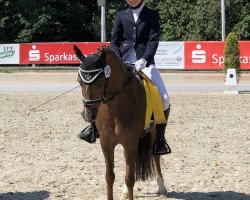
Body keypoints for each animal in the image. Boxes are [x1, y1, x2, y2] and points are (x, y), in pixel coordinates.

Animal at [74, 45, 168, 200]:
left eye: (100, 82)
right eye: (79, 82)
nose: (88, 115)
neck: (115, 107)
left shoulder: (130, 142)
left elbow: (129, 178)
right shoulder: (106, 143)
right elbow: (109, 176)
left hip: (152, 133)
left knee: (155, 156)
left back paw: (162, 187)